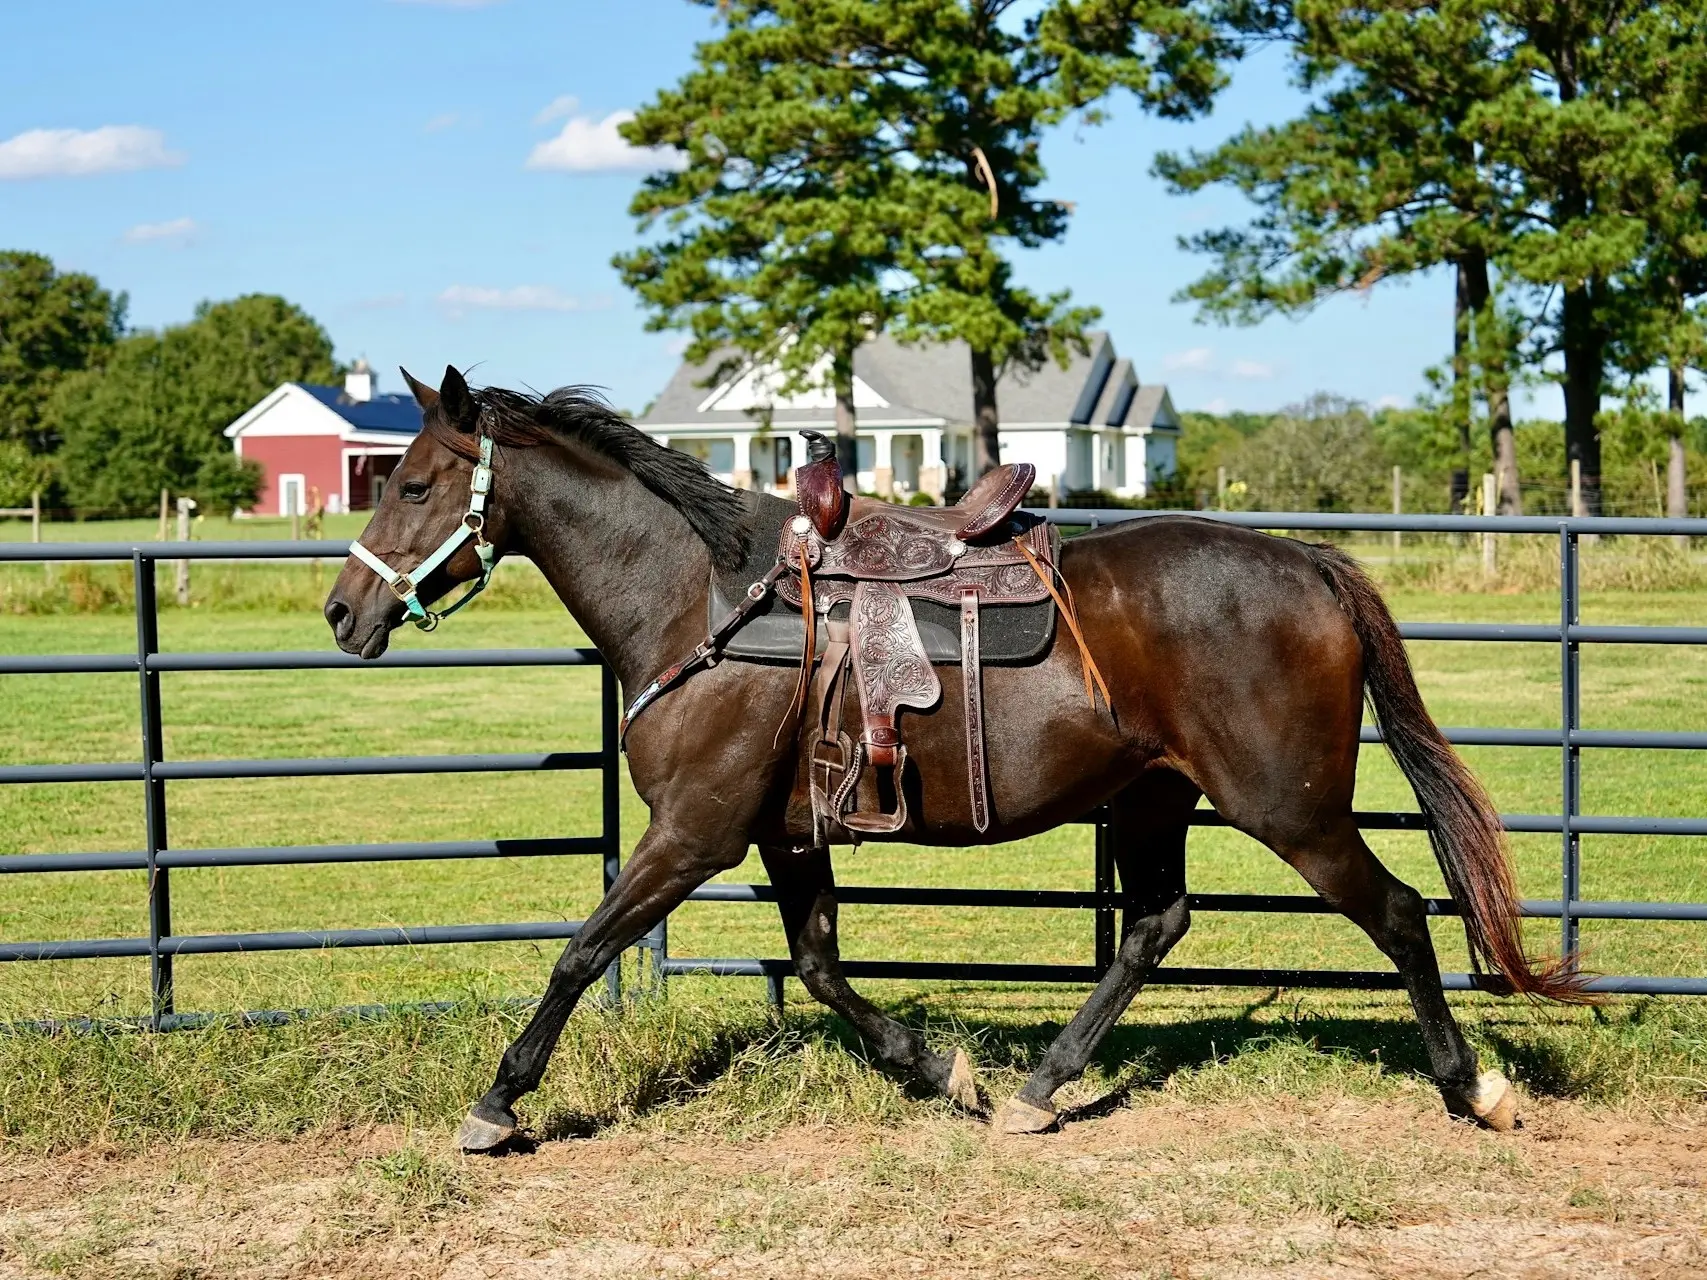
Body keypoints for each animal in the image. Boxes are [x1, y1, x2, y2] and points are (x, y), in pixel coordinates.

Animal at [326, 368, 1577, 1153]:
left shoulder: (690, 834)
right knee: (1154, 924)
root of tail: (1309, 562)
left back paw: (1476, 1088)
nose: (342, 611)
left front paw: (498, 1101)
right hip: (1154, 799)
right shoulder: (784, 835)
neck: (705, 598)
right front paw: (943, 1070)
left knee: (1401, 912)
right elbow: (821, 969)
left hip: (1291, 807)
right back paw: (1038, 1088)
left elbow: (580, 952)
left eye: (415, 482)